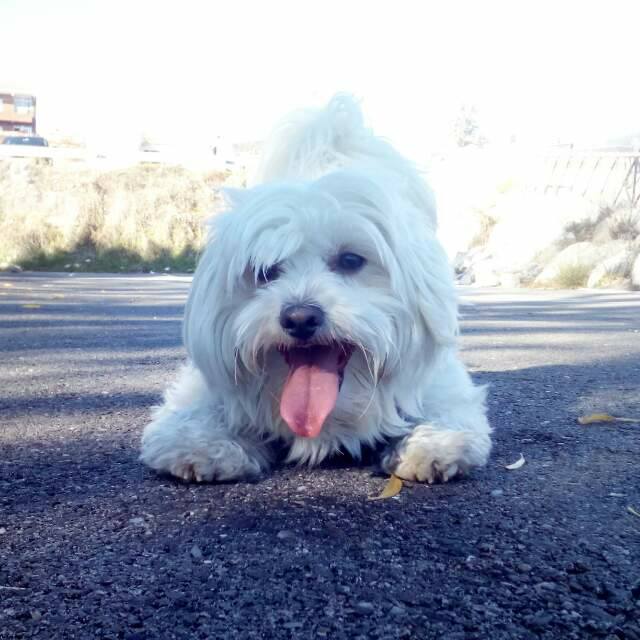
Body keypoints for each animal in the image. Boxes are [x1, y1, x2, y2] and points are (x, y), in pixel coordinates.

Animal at [140, 95, 492, 484]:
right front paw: (206, 446)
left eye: (350, 260)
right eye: (265, 271)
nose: (299, 318)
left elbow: (446, 411)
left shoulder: (441, 382)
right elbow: (189, 419)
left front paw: (430, 442)